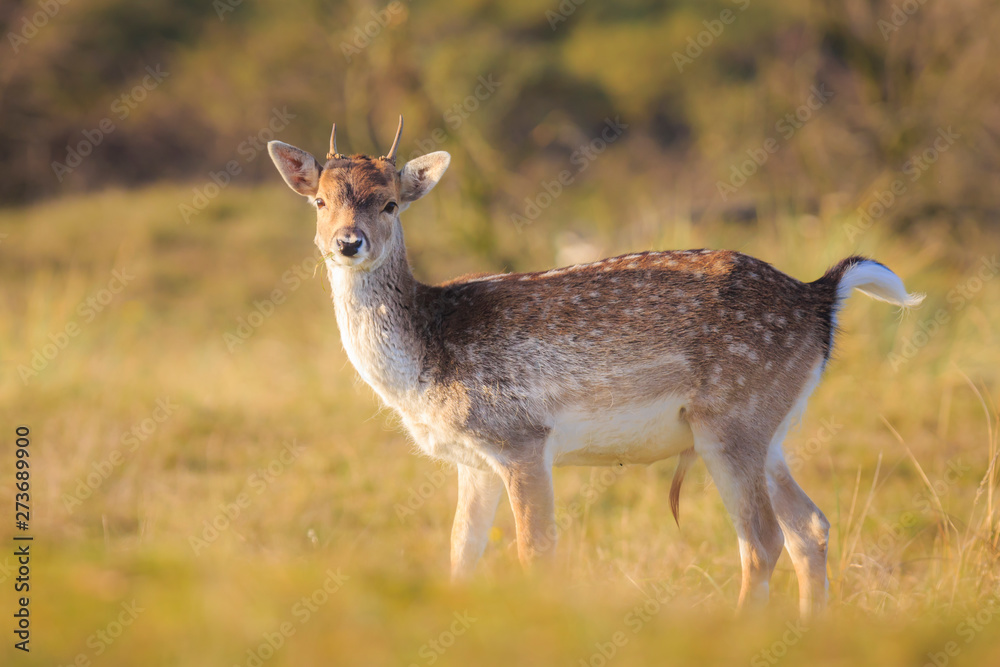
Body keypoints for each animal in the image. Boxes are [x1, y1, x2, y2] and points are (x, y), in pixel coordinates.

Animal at [267, 116, 923, 617]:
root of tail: (821, 297)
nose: (348, 242)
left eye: (390, 203)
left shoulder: (521, 438)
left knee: (761, 539)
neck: (424, 365)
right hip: (772, 426)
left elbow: (536, 554)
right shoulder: (472, 461)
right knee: (810, 526)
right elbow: (460, 557)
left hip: (732, 419)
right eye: (320, 200)